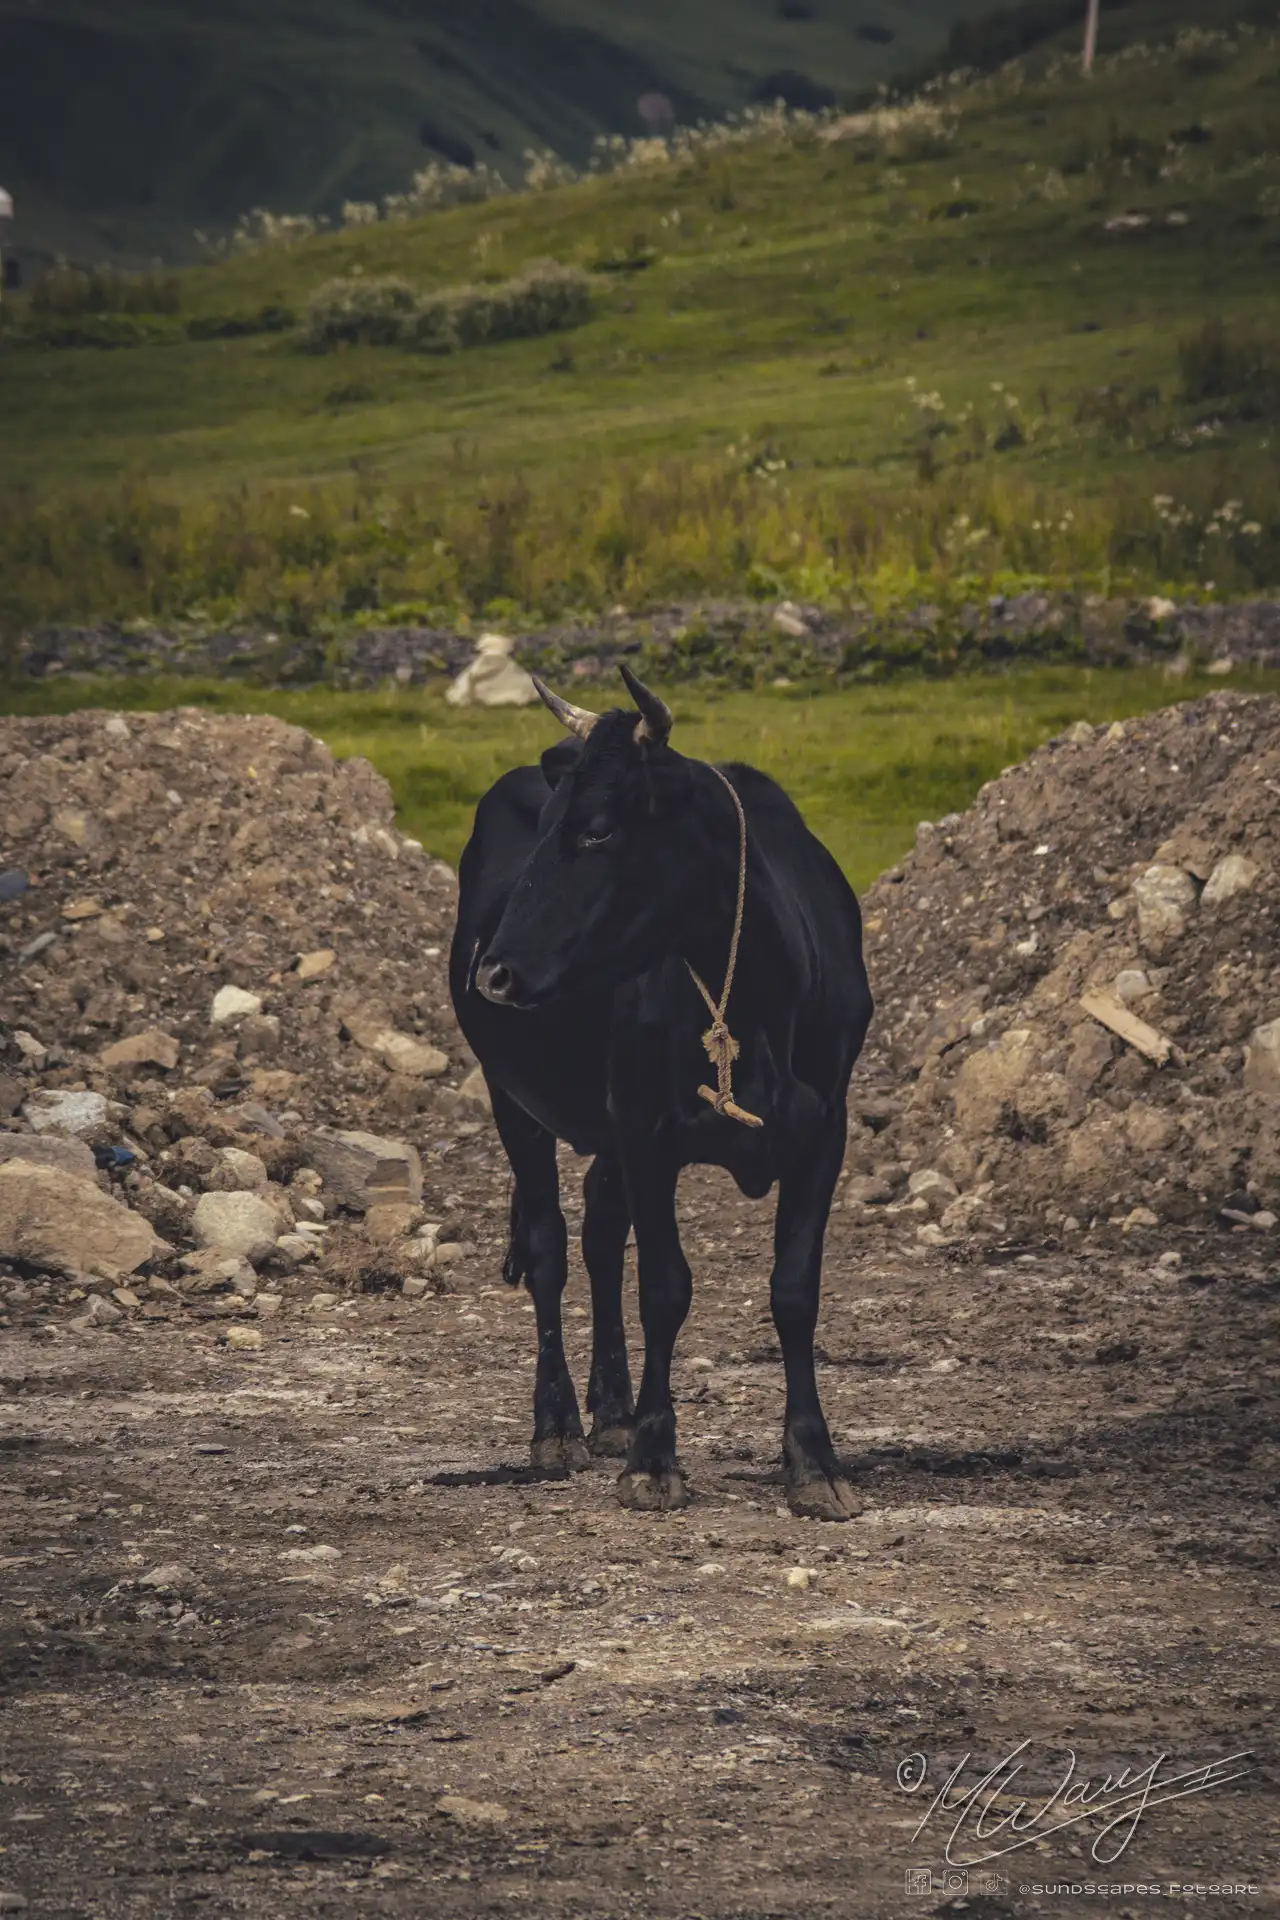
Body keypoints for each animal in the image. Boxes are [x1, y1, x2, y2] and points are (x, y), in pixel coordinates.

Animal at [445, 668, 875, 1520]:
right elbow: (665, 1288)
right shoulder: (647, 1130)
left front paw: (814, 1462)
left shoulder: (826, 1128)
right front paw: (654, 1458)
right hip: (512, 1097)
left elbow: (794, 1291)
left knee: (600, 1230)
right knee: (549, 1246)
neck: (760, 993)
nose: (493, 972)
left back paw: (611, 1412)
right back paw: (559, 1427)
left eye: (598, 831)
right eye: (548, 828)